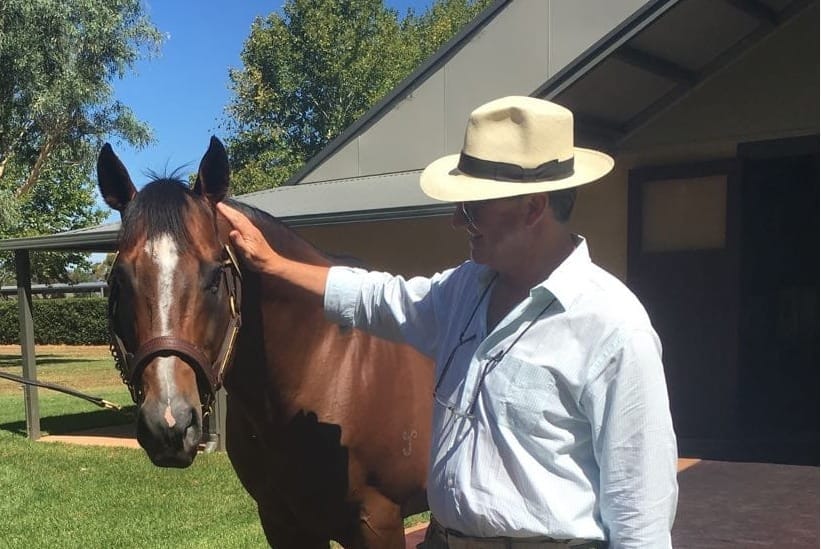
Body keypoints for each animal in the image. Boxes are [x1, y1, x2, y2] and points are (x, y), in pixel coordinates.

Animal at [97, 137, 433, 548]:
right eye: (120, 279)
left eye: (214, 276)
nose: (169, 424)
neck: (327, 365)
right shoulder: (281, 521)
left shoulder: (377, 523)